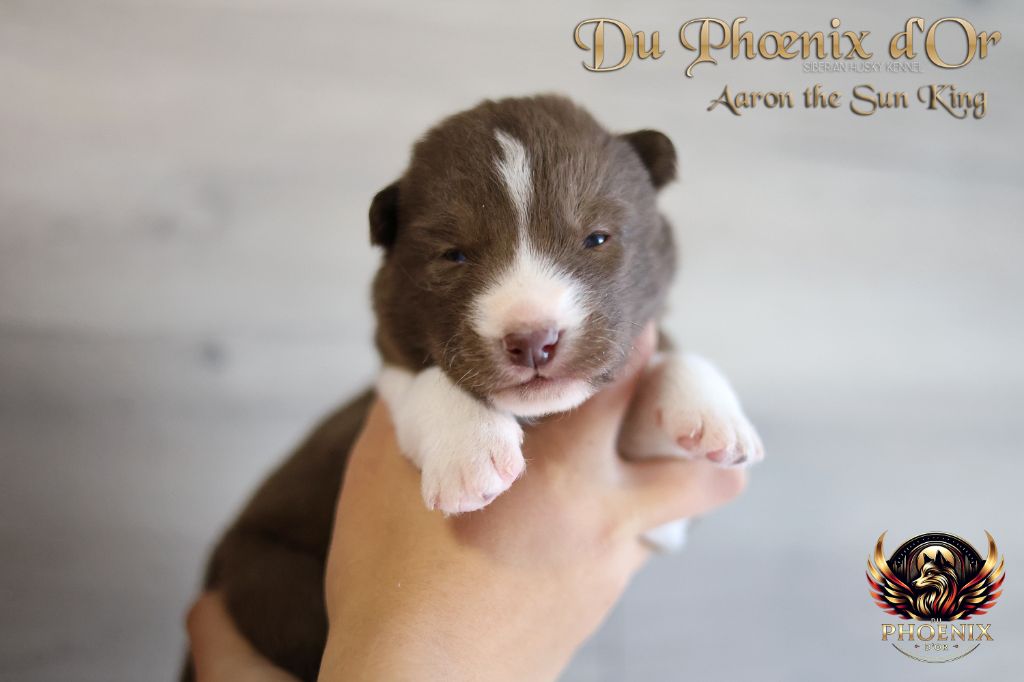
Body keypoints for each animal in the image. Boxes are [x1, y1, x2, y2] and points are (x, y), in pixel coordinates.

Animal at [185, 94, 762, 681]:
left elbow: (667, 364)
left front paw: (712, 415)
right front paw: (470, 454)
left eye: (597, 238)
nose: (533, 340)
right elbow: (427, 383)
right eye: (454, 255)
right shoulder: (394, 370)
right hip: (264, 572)